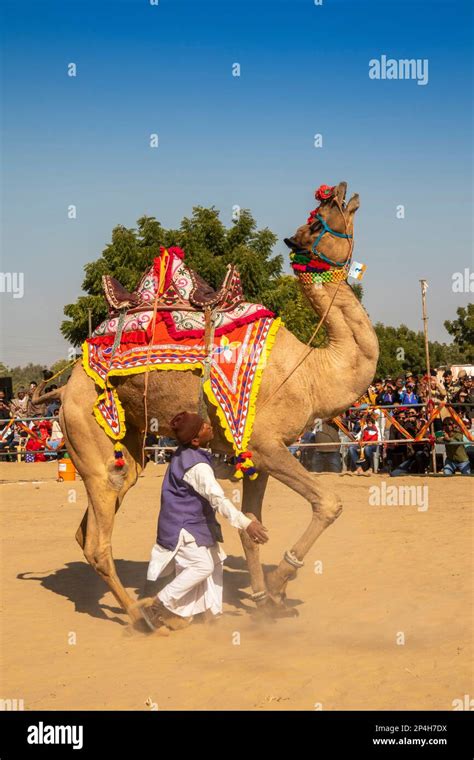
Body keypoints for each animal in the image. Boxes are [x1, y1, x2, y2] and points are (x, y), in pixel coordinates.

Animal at [35, 183, 380, 624]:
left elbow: (251, 527)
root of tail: (62, 390)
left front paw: (264, 600)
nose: (341, 189)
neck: (311, 372)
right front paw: (280, 582)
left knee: (93, 522)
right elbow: (329, 503)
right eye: (319, 218)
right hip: (87, 429)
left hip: (125, 443)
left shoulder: (254, 455)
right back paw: (140, 616)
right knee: (97, 535)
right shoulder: (268, 445)